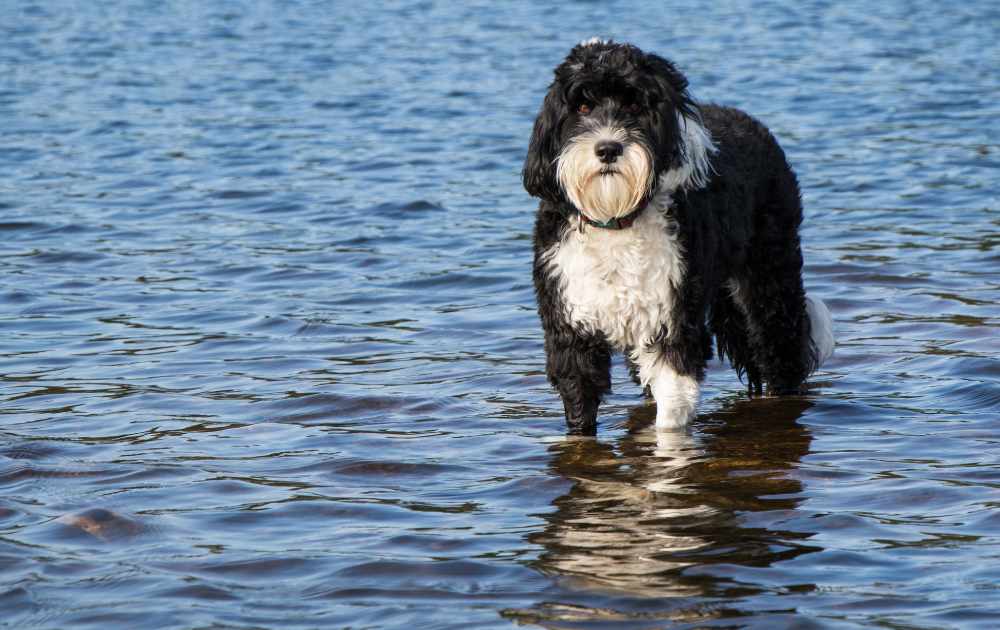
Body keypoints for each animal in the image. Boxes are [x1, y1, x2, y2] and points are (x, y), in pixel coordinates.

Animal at [524, 38, 836, 434]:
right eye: (581, 106)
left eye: (634, 105)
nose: (608, 148)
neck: (616, 218)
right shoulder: (572, 331)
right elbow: (580, 404)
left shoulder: (672, 323)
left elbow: (670, 415)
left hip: (768, 280)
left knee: (781, 349)